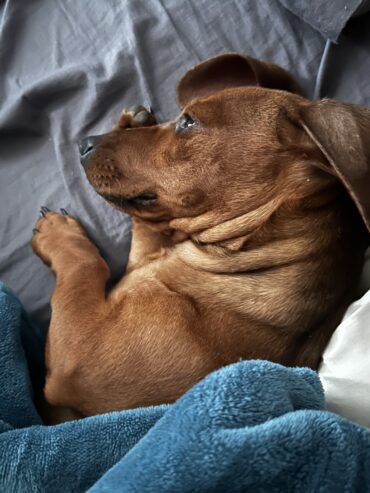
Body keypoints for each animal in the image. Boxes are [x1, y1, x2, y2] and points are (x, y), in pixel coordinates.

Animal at [31, 53, 370, 418]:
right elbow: (146, 224)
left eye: (189, 123)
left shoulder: (78, 356)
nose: (84, 143)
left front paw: (57, 233)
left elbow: (86, 267)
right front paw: (133, 122)